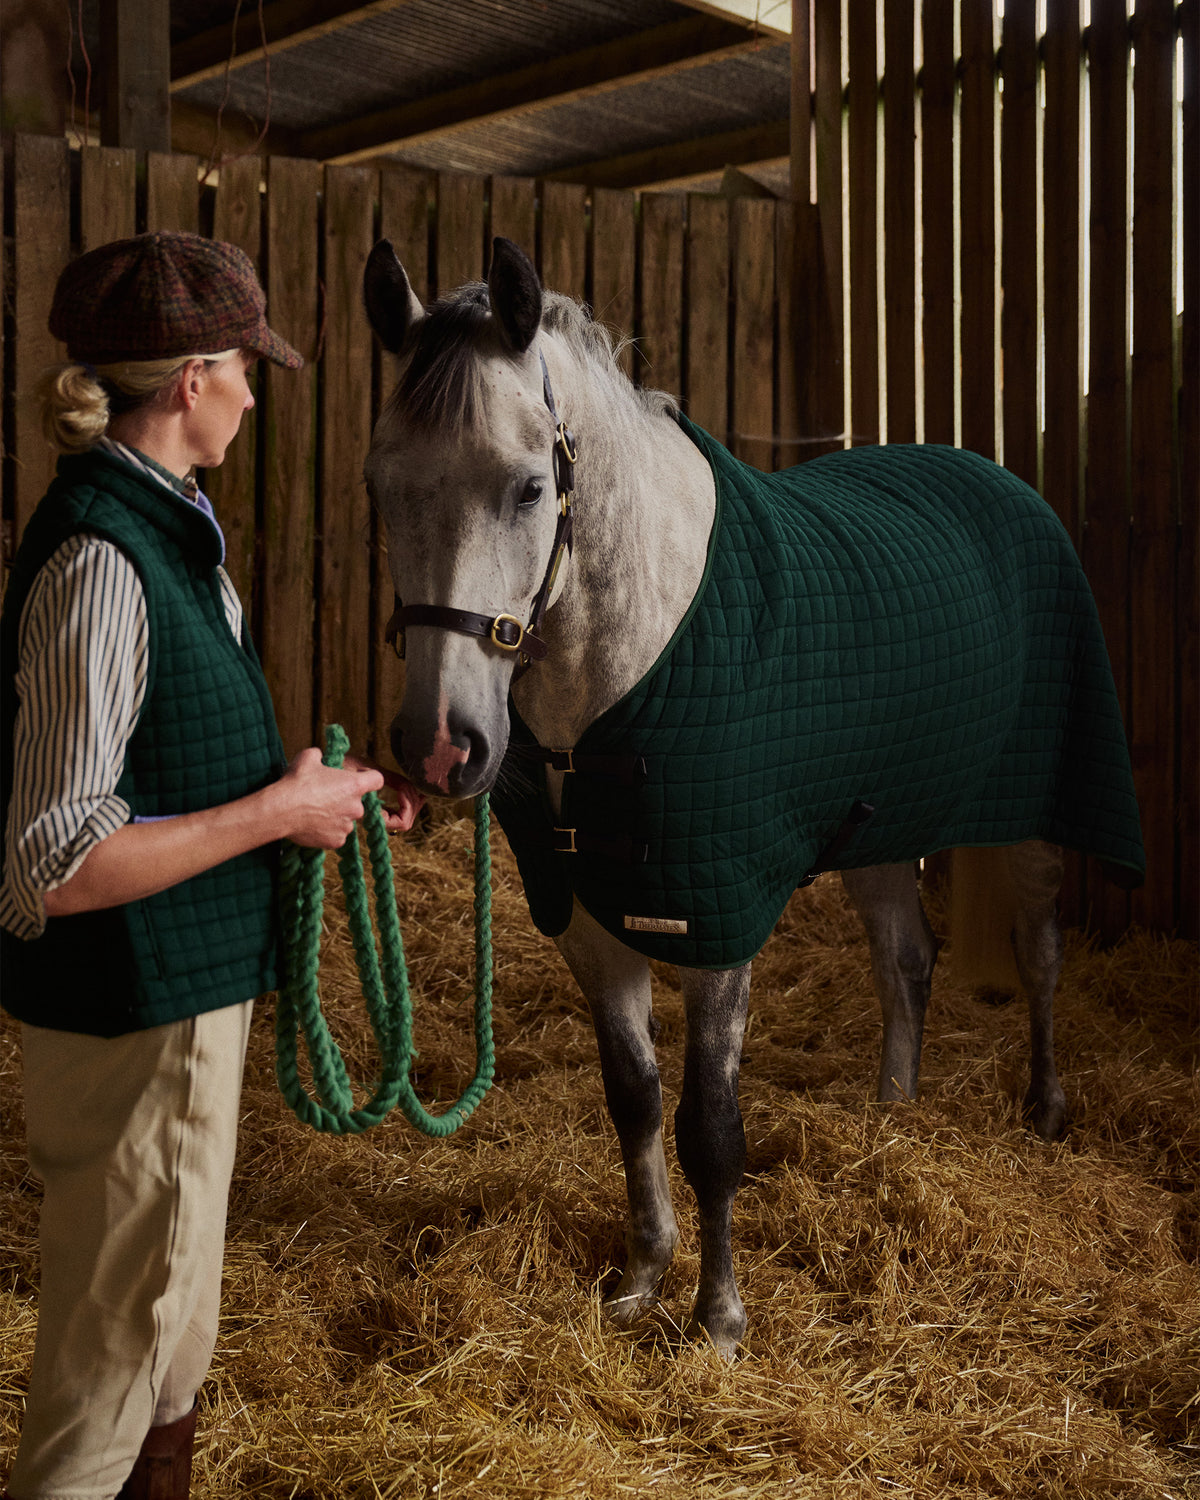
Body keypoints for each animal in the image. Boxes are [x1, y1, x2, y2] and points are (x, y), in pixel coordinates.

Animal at [360, 236, 1144, 1357]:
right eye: (382, 485)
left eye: (526, 488)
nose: (439, 745)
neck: (627, 668)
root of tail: (999, 478)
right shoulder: (590, 922)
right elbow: (634, 1101)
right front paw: (642, 1276)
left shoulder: (715, 928)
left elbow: (711, 1127)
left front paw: (719, 1318)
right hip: (876, 828)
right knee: (906, 961)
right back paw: (892, 1118)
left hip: (1034, 813)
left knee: (1039, 952)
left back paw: (1044, 1108)